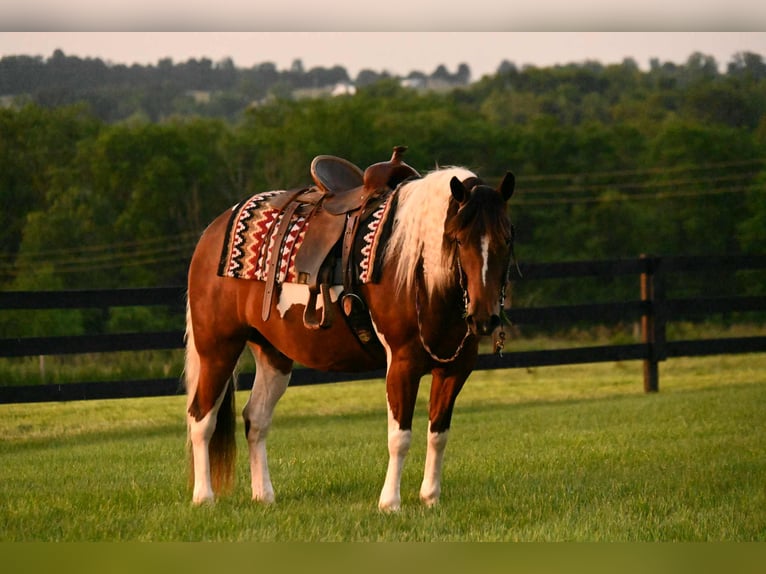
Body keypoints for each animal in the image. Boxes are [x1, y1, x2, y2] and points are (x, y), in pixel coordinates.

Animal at [184, 155, 516, 511]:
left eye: (506, 239)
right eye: (457, 239)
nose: (483, 318)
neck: (419, 269)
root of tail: (213, 231)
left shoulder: (456, 368)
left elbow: (438, 433)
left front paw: (430, 498)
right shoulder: (402, 365)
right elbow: (399, 437)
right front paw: (390, 503)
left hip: (273, 354)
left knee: (255, 420)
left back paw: (264, 495)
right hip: (217, 349)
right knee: (201, 417)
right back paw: (204, 497)